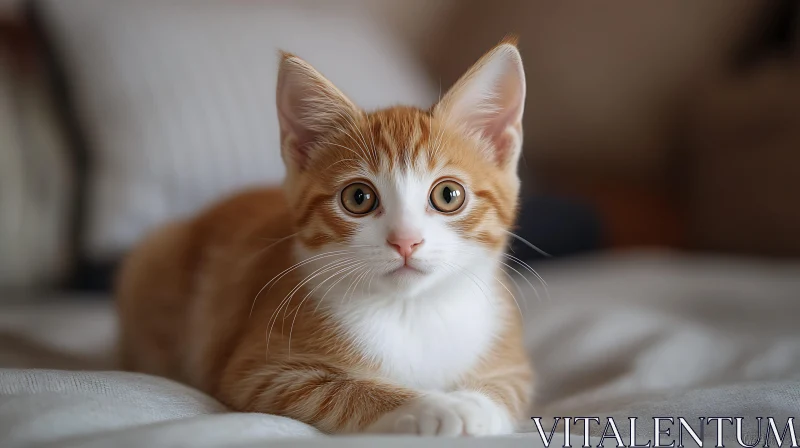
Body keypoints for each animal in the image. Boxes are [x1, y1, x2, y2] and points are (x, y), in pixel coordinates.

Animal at [115, 39, 536, 438]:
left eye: (448, 195)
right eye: (358, 198)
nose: (405, 241)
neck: (410, 311)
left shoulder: (513, 363)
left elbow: (510, 391)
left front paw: (478, 404)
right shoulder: (258, 371)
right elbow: (347, 392)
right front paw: (440, 406)